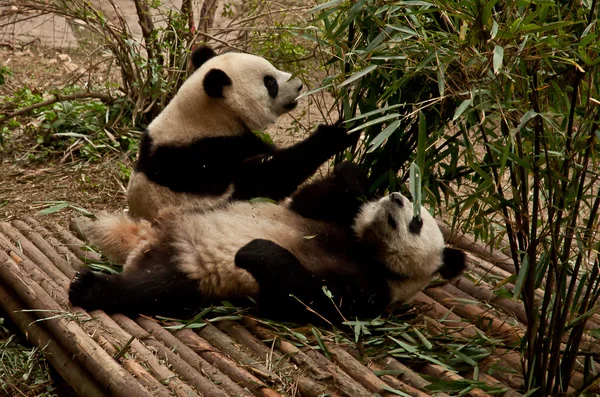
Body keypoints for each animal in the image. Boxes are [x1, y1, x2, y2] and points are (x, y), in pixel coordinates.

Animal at [70, 162, 468, 324]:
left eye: (417, 222)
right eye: (407, 200)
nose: (396, 198)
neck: (366, 248)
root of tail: (151, 240)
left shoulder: (372, 289)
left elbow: (309, 300)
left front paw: (253, 250)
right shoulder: (323, 219)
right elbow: (309, 198)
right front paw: (355, 181)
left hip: (188, 274)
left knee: (149, 288)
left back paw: (87, 287)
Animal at [127, 45, 356, 221]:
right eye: (269, 82)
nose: (299, 85)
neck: (204, 115)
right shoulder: (209, 155)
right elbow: (275, 175)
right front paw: (339, 131)